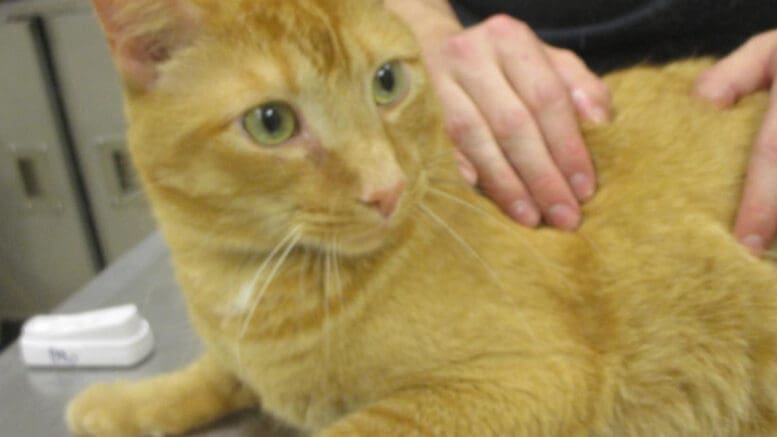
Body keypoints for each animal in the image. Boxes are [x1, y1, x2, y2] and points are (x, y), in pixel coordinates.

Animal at [66, 0, 776, 436]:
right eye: (271, 123)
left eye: (386, 82)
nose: (387, 190)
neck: (245, 282)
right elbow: (216, 373)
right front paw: (122, 402)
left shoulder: (527, 379)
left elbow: (349, 427)